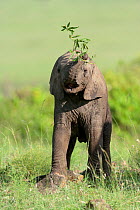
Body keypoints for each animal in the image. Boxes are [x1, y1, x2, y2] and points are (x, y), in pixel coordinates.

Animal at [49, 51, 111, 184]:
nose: (83, 54)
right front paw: (57, 177)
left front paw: (94, 179)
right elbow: (61, 130)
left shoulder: (97, 102)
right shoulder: (60, 99)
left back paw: (108, 179)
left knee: (106, 144)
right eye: (59, 70)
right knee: (70, 145)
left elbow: (94, 132)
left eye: (85, 71)